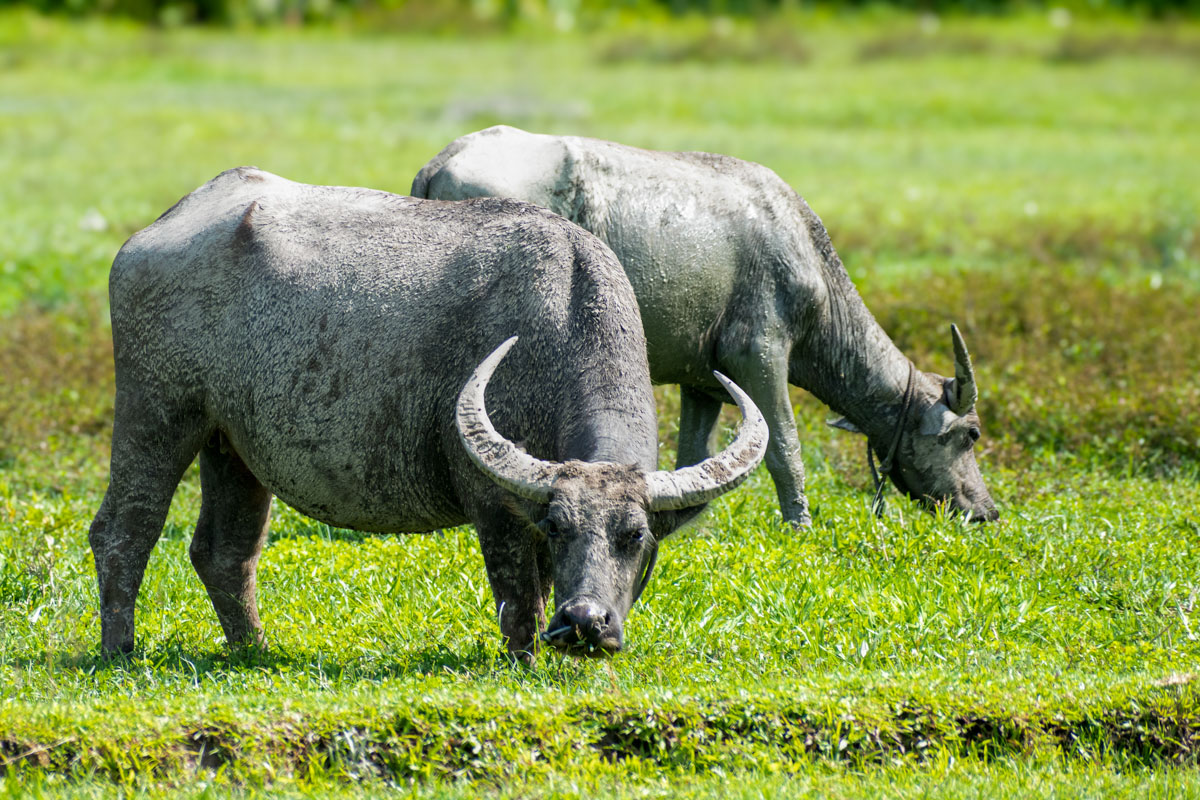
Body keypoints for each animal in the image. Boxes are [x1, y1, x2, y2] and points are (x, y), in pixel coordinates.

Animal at [93, 167, 768, 662]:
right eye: (559, 528)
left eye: (636, 537)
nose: (583, 622)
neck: (558, 319)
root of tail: (148, 237)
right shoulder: (494, 507)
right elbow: (519, 597)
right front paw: (524, 658)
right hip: (158, 410)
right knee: (124, 528)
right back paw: (119, 650)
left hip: (231, 445)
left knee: (224, 550)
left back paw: (255, 650)